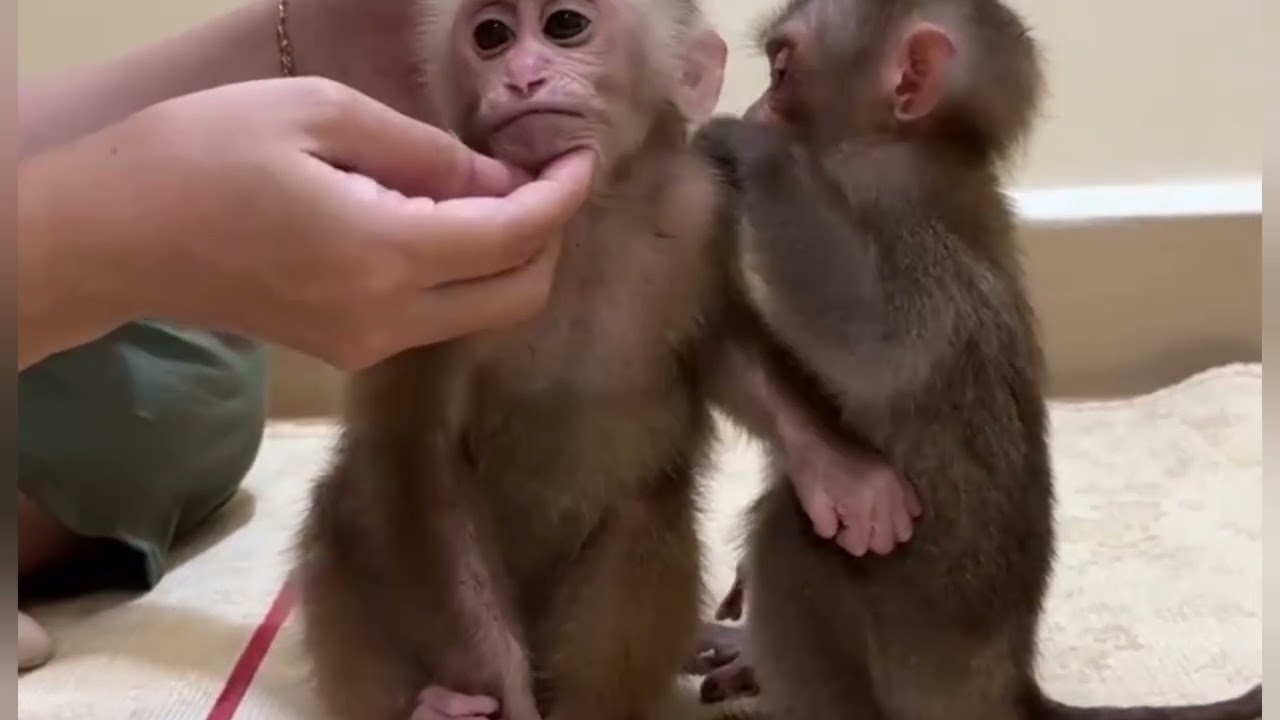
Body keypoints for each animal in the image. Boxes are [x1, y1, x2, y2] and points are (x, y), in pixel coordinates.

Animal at [290, 1, 739, 719]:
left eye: (564, 25)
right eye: (492, 37)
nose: (522, 77)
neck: (583, 222)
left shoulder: (706, 216)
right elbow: (419, 464)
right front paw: (505, 691)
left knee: (652, 513)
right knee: (345, 510)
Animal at [683, 0, 1266, 719]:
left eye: (782, 70)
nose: (758, 107)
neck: (922, 148)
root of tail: (1006, 684)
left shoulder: (897, 214)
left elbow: (874, 341)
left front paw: (749, 151)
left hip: (923, 652)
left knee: (793, 538)